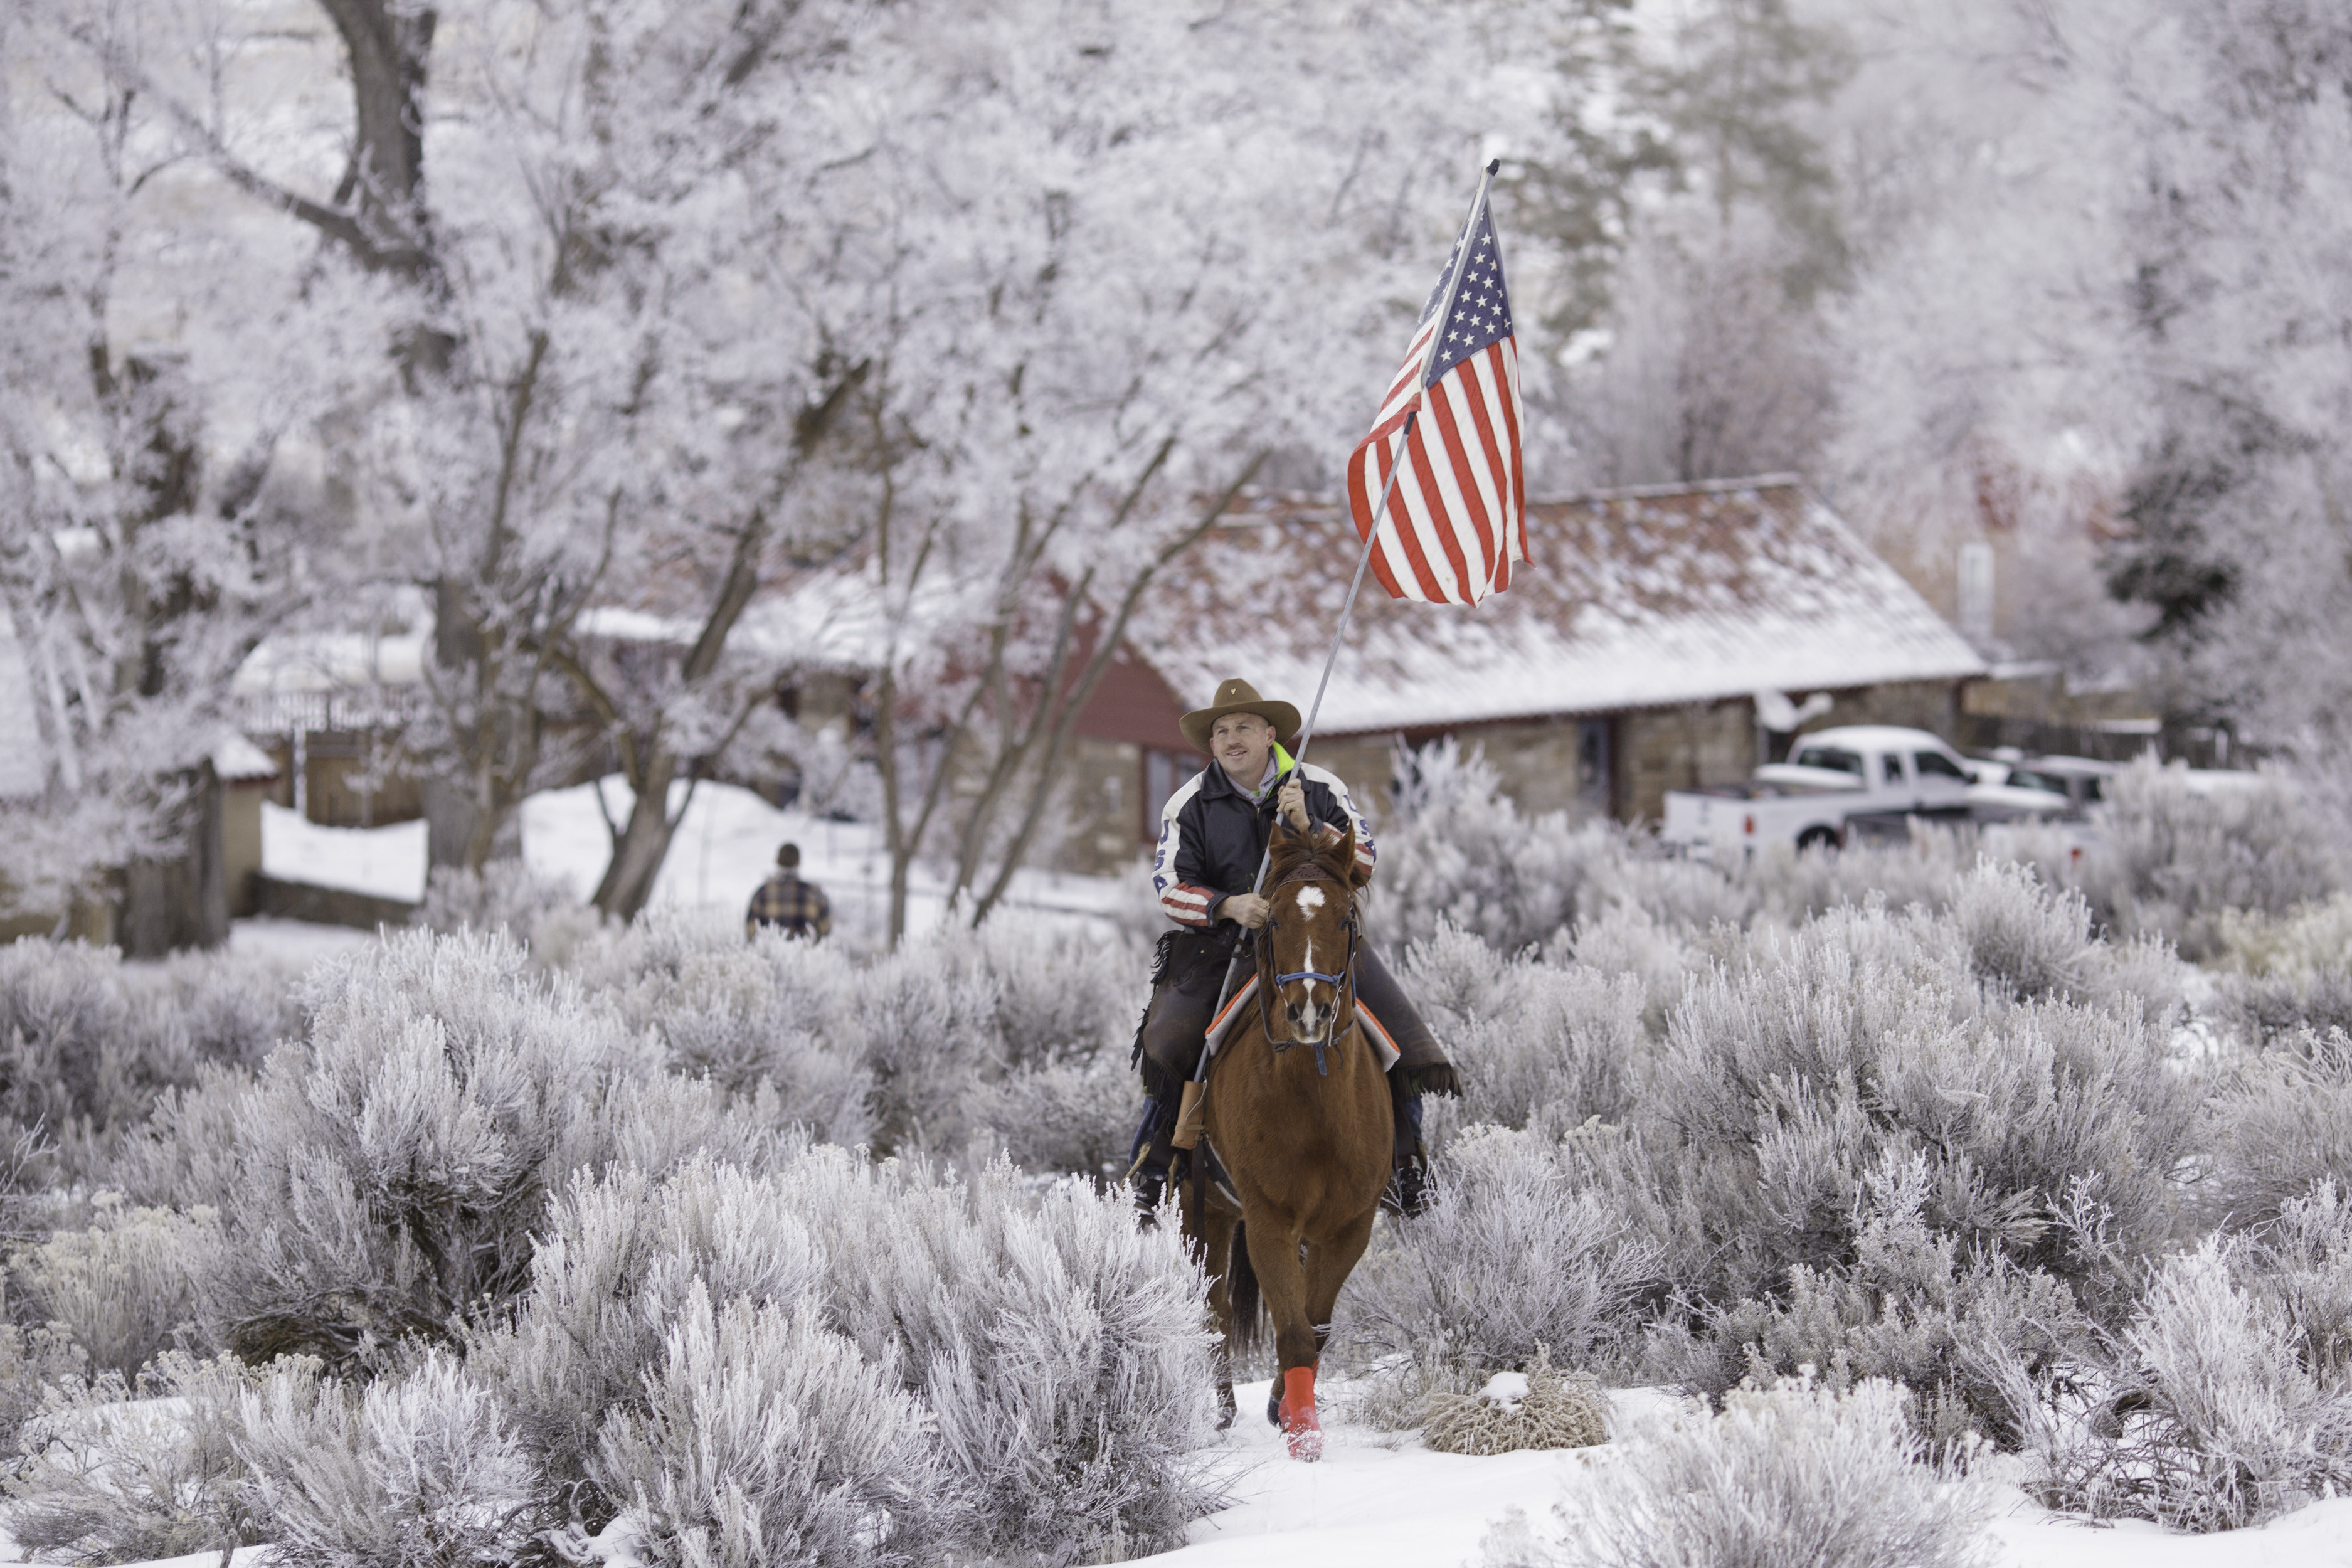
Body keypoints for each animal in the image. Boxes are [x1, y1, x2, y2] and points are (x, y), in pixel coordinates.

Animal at [1185, 818, 1383, 1466]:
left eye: (1345, 919)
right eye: (1272, 921)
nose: (1309, 1013)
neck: (1315, 1108)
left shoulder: (1349, 1227)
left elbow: (1315, 1326)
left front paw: (1282, 1408)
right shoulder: (1268, 1220)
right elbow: (1293, 1330)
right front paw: (1304, 1439)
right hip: (1205, 1209)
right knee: (1215, 1311)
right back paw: (1221, 1413)